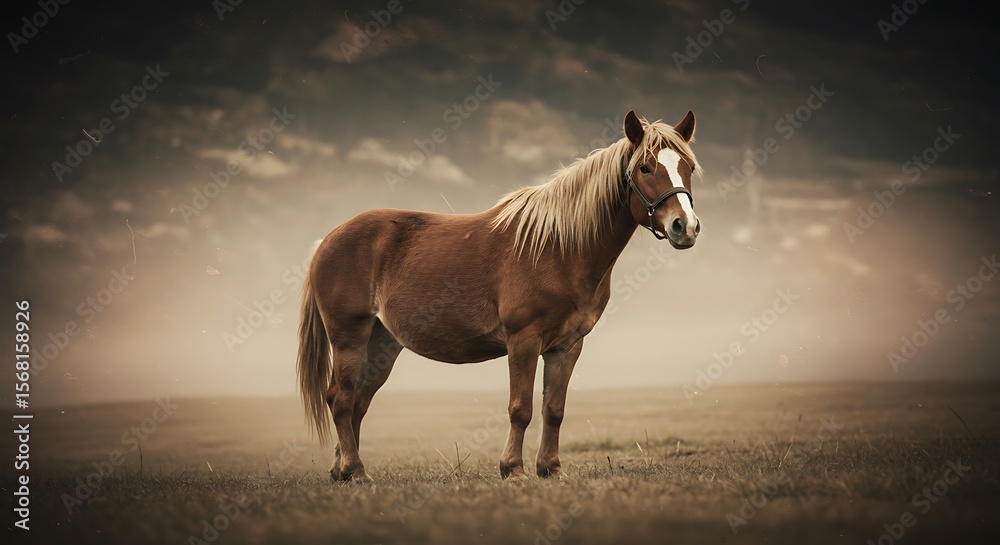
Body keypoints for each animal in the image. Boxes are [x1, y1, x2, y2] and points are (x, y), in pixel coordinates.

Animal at [297, 109, 702, 482]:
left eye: (688, 168)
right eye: (646, 168)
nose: (685, 227)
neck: (559, 247)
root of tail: (326, 241)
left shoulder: (567, 346)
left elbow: (554, 409)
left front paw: (550, 468)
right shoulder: (523, 340)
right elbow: (520, 408)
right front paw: (513, 469)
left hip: (382, 342)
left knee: (358, 401)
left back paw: (342, 470)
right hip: (349, 337)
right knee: (341, 399)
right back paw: (356, 471)